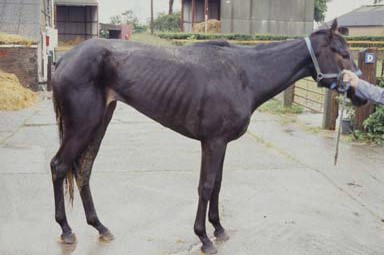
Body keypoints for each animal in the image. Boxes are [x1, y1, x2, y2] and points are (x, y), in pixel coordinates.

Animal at [50, 19, 366, 253]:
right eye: (342, 53)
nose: (361, 96)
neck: (244, 75)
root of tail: (63, 60)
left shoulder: (221, 143)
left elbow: (217, 185)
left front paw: (219, 229)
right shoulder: (212, 142)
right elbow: (205, 186)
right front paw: (203, 238)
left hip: (99, 123)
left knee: (83, 169)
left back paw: (100, 227)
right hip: (82, 126)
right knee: (59, 167)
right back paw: (66, 230)